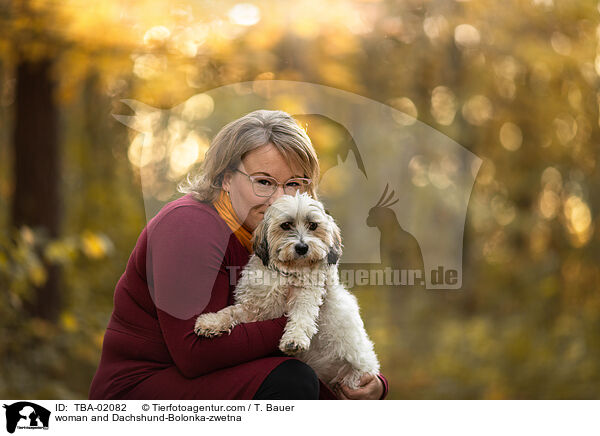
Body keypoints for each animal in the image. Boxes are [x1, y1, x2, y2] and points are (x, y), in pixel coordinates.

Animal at [196, 192, 380, 390]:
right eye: (286, 225)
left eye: (313, 225)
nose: (302, 247)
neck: (287, 272)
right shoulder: (255, 308)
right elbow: (230, 312)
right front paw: (211, 322)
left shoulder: (306, 296)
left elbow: (301, 318)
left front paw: (295, 339)